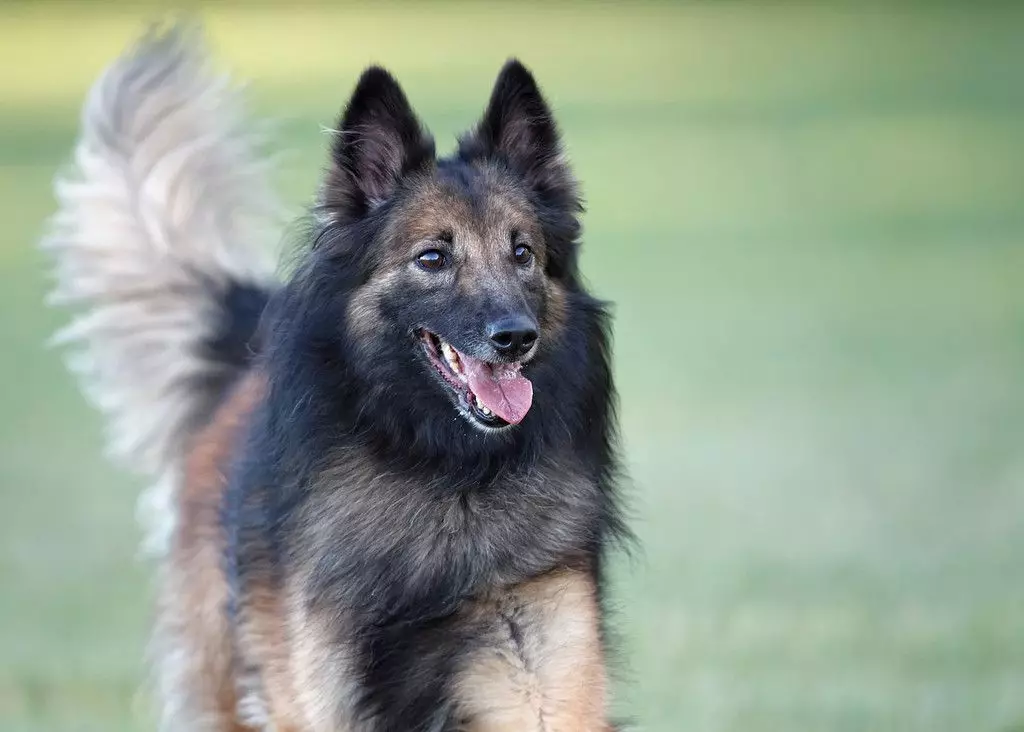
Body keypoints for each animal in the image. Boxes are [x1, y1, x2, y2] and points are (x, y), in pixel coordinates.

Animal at [41, 25, 622, 728]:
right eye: (433, 257)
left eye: (523, 253)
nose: (515, 338)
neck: (441, 473)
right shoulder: (316, 683)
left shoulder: (541, 661)